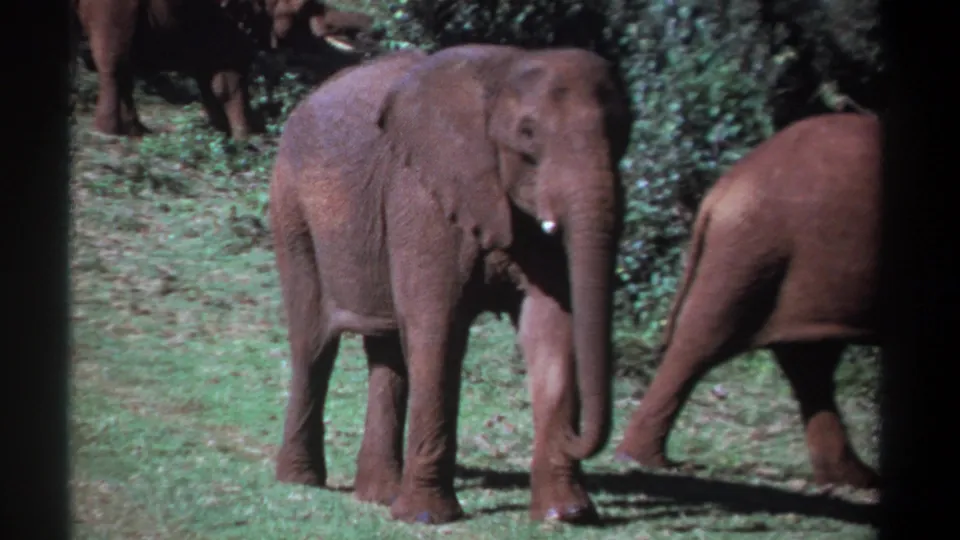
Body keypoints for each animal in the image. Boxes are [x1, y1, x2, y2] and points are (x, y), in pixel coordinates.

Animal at [72, 0, 376, 138]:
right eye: (311, 7)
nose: (373, 26)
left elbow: (211, 80)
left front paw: (224, 131)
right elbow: (230, 81)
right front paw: (247, 136)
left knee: (121, 68)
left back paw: (136, 130)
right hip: (114, 8)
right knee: (113, 62)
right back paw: (110, 132)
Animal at [268, 44, 633, 525]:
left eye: (623, 132)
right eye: (527, 133)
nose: (576, 437)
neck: (505, 69)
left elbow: (551, 325)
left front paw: (565, 514)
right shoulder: (422, 195)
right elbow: (436, 327)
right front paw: (427, 519)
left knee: (387, 351)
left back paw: (380, 496)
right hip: (292, 211)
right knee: (313, 342)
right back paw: (302, 481)